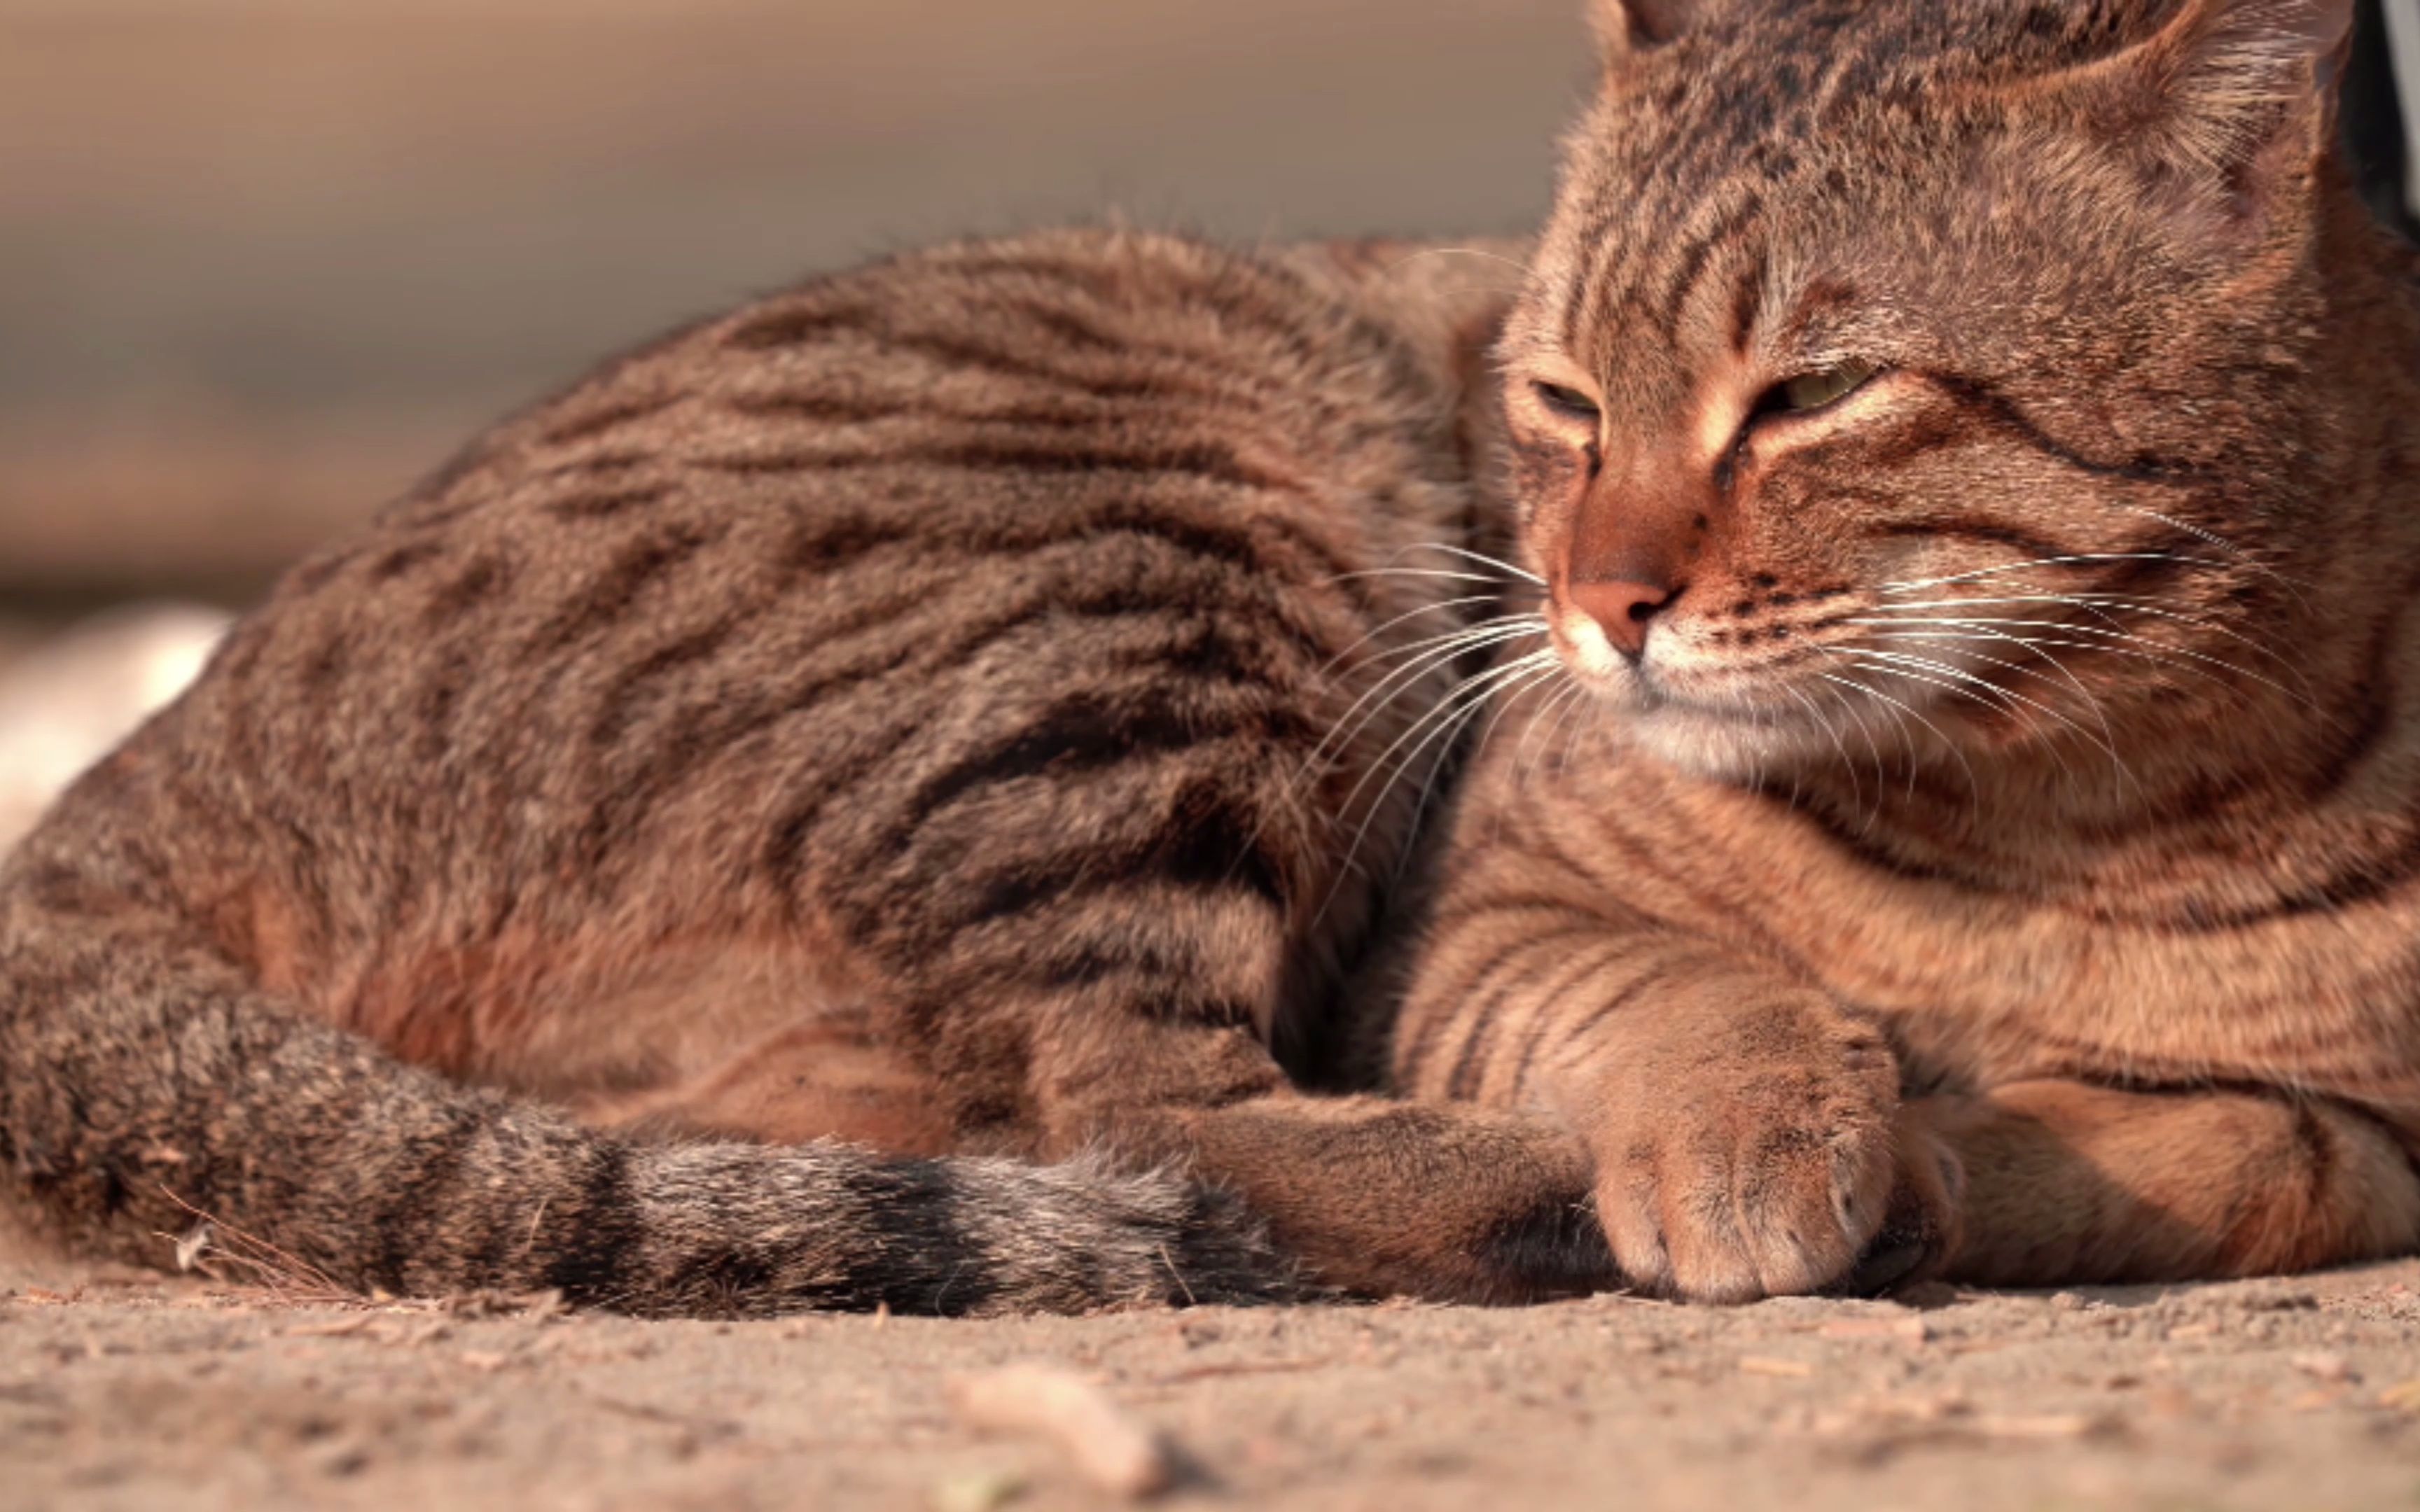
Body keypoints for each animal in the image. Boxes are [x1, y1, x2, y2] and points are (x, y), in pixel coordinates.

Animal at [1393, 0, 2420, 1296]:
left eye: (1815, 392)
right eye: (1568, 400)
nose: (1598, 601)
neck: (2057, 833)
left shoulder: (2369, 1134)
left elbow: (2252, 1161)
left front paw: (1921, 1162)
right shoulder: (1491, 926)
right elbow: (1672, 983)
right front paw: (1747, 1115)